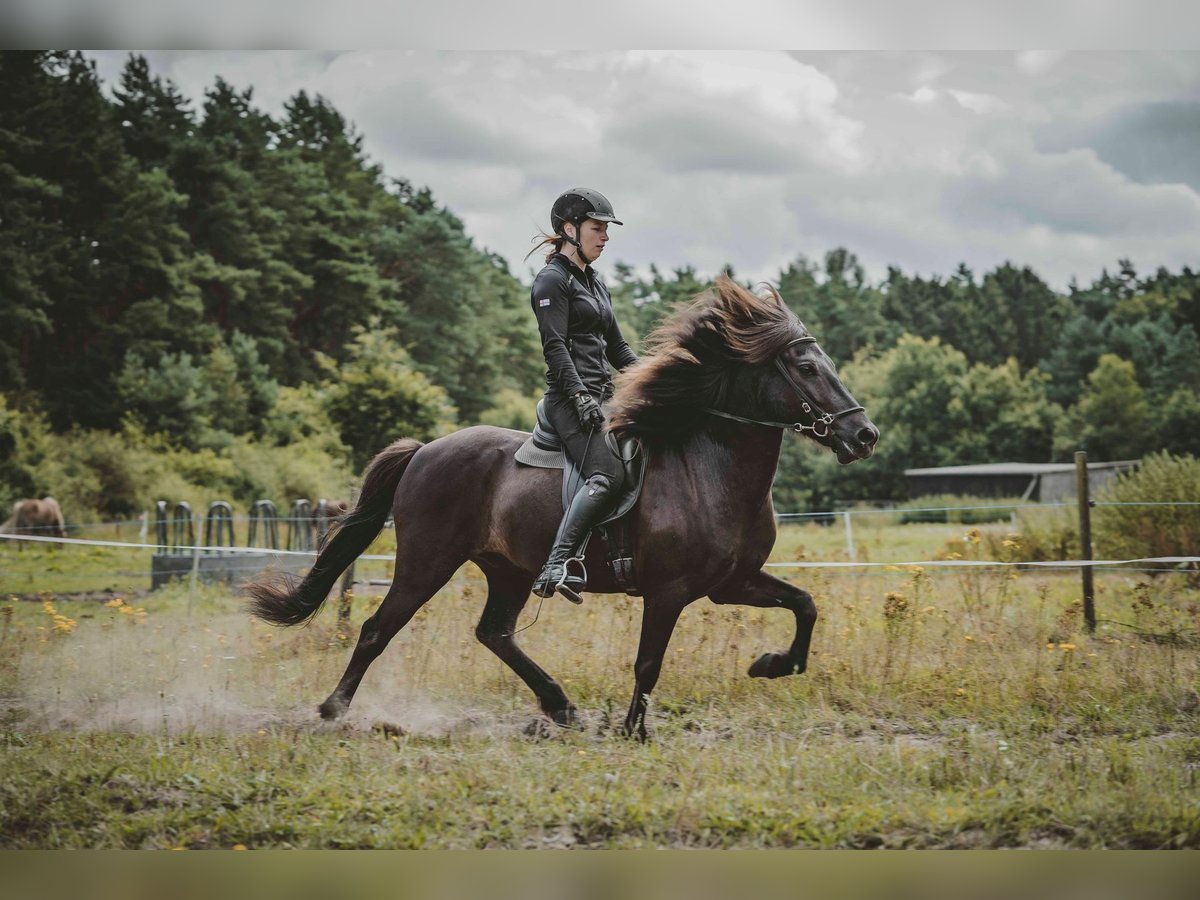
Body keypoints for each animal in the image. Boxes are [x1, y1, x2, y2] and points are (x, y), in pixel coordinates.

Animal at [246, 277, 883, 739]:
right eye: (807, 368)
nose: (863, 435)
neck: (710, 471)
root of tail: (425, 450)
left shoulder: (732, 582)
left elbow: (805, 604)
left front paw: (770, 665)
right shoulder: (669, 591)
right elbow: (648, 663)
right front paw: (633, 731)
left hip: (507, 569)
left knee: (494, 633)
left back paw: (562, 708)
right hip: (427, 563)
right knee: (379, 629)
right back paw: (333, 710)